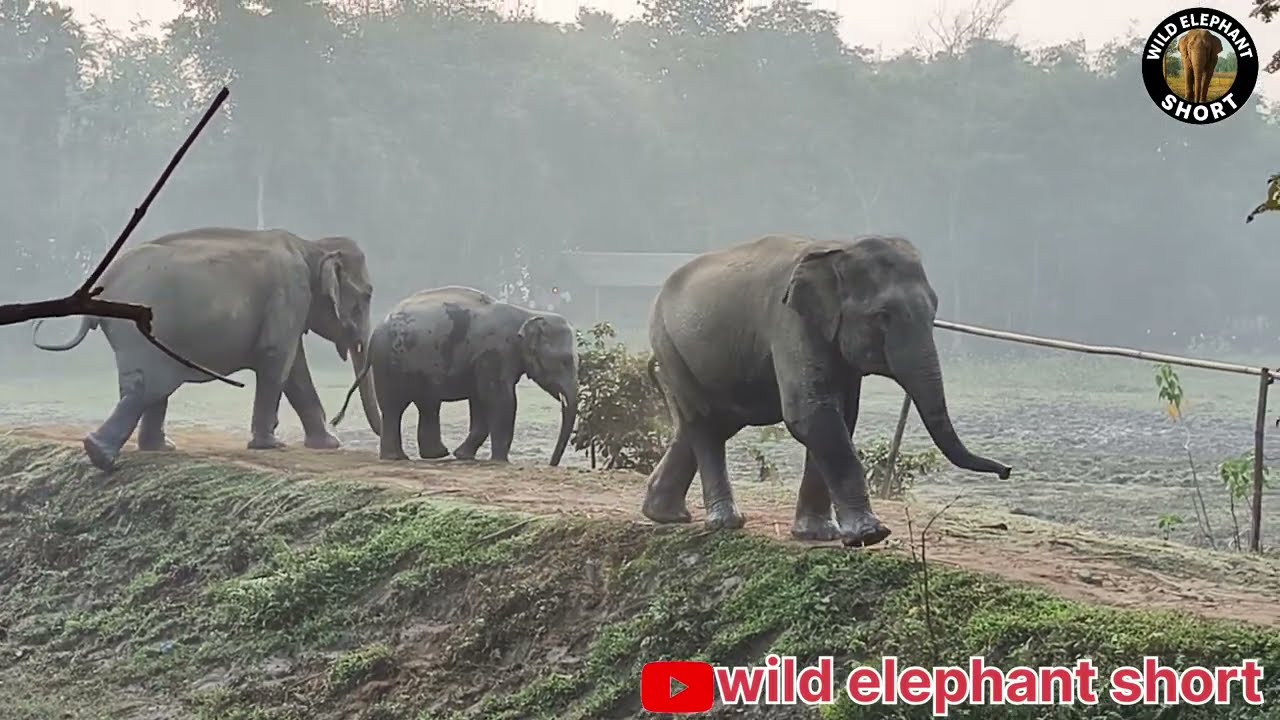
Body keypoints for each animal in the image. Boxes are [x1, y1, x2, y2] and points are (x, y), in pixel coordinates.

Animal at [31, 227, 382, 471]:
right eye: (367, 296)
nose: (338, 420)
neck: (312, 246)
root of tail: (103, 286)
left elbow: (294, 367)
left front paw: (327, 444)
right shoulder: (289, 295)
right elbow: (276, 358)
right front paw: (271, 445)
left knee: (152, 389)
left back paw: (156, 449)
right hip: (139, 332)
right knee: (147, 386)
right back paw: (101, 454)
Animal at [331, 285, 578, 465]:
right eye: (565, 361)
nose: (552, 463)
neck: (528, 314)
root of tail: (374, 335)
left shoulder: (482, 360)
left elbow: (480, 401)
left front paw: (463, 456)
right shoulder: (495, 353)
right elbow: (500, 399)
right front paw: (500, 461)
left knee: (426, 404)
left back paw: (433, 455)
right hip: (390, 365)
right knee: (395, 407)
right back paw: (399, 458)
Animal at [641, 234, 1012, 548]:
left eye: (934, 309)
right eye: (883, 315)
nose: (1006, 471)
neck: (838, 248)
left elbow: (842, 417)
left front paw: (819, 535)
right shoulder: (790, 323)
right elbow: (810, 414)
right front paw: (870, 535)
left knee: (707, 424)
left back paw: (664, 514)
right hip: (670, 346)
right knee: (704, 423)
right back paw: (724, 522)